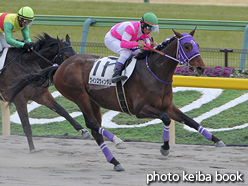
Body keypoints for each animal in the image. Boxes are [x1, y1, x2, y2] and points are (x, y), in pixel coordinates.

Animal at [7, 29, 225, 171]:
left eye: (197, 45)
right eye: (187, 46)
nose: (201, 68)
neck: (154, 72)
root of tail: (59, 66)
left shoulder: (168, 105)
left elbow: (189, 120)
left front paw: (216, 140)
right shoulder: (140, 109)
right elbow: (165, 118)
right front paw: (164, 148)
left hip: (93, 101)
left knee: (95, 130)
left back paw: (115, 162)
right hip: (79, 95)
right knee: (92, 124)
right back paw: (118, 142)